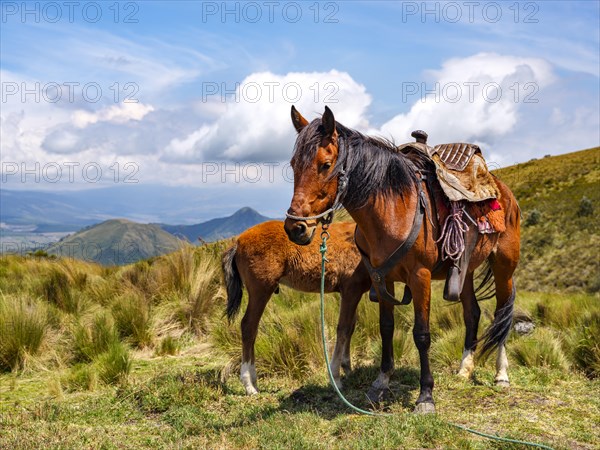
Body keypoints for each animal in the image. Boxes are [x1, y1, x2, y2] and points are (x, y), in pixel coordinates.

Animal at [221, 221, 370, 394]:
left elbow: (351, 328)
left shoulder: (353, 293)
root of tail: (238, 242)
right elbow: (343, 330)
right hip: (261, 290)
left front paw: (348, 368)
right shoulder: (351, 290)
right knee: (248, 326)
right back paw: (249, 384)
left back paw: (253, 381)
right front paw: (336, 379)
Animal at [284, 106, 520, 414]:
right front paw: (380, 383)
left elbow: (421, 334)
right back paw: (464, 369)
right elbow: (386, 328)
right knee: (473, 313)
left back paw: (501, 374)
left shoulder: (420, 277)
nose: (295, 228)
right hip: (464, 271)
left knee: (503, 314)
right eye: (293, 165)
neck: (392, 209)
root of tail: (503, 190)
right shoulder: (381, 278)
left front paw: (426, 395)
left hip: (504, 268)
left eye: (325, 165)